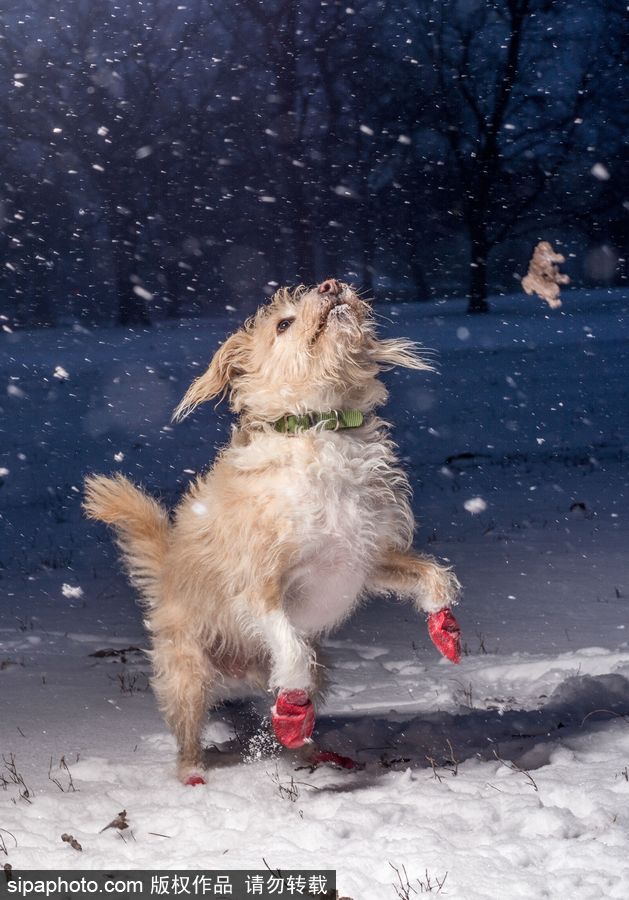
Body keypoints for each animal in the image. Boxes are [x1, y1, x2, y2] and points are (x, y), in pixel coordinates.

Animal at [83, 278, 458, 784]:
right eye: (283, 324)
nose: (331, 284)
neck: (320, 428)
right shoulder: (258, 588)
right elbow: (291, 647)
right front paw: (292, 709)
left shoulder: (368, 558)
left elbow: (432, 574)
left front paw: (444, 626)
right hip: (188, 675)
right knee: (192, 732)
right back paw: (198, 771)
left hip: (312, 669)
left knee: (289, 705)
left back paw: (314, 750)